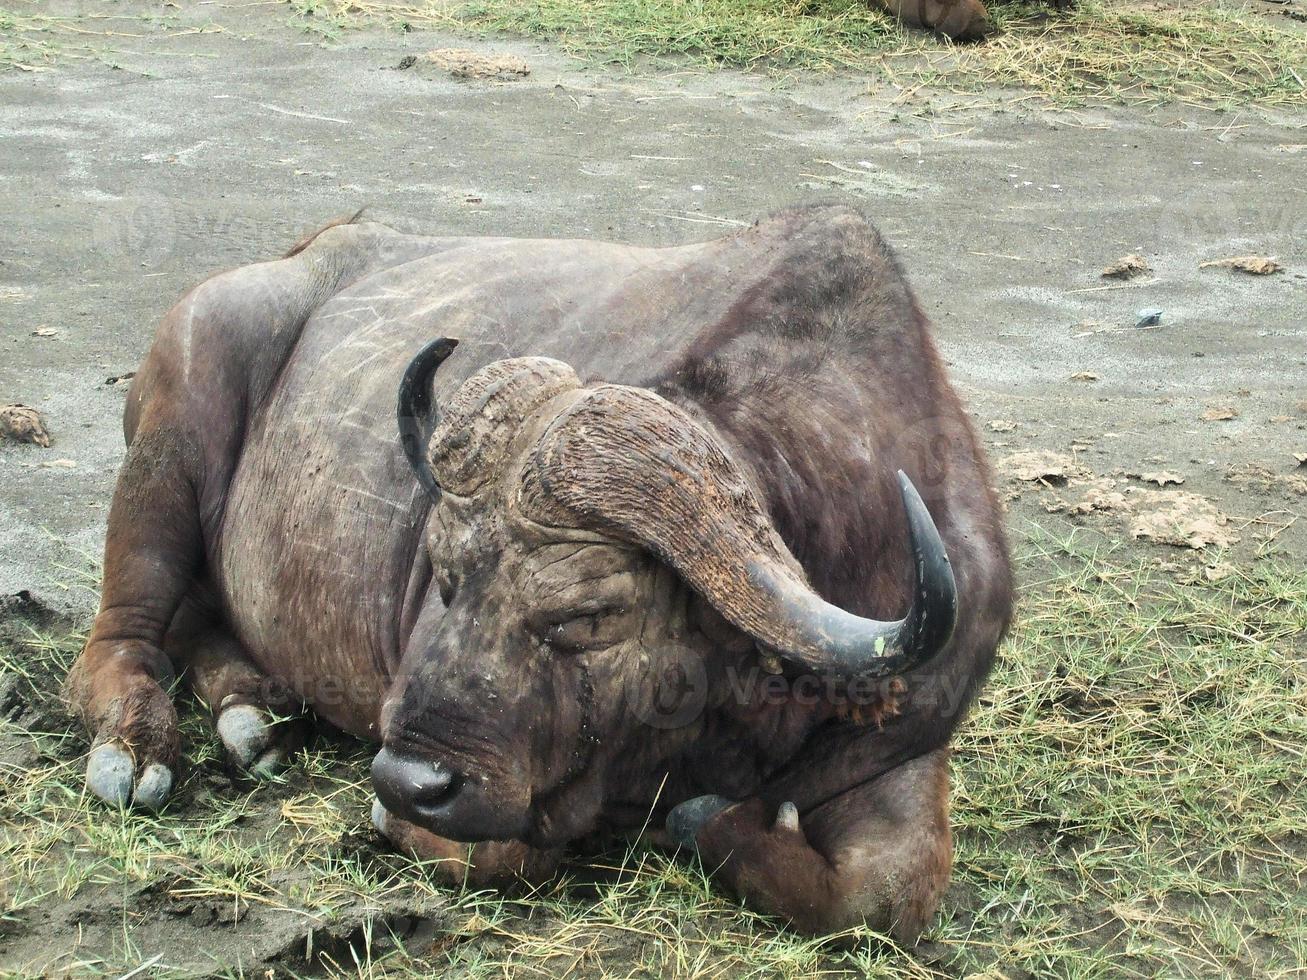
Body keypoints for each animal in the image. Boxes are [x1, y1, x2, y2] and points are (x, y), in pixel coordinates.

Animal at [66, 201, 1014, 946]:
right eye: (444, 578)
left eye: (591, 616)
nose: (408, 782)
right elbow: (509, 847)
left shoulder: (904, 730)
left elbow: (885, 891)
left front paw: (713, 821)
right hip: (172, 438)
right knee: (123, 632)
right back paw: (138, 748)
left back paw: (250, 713)